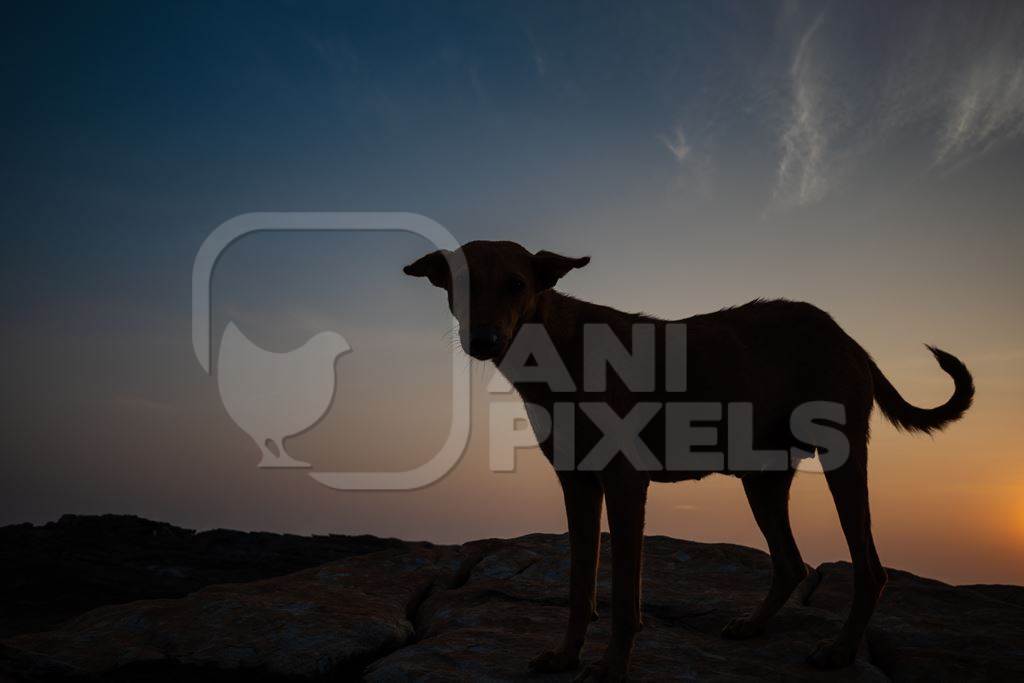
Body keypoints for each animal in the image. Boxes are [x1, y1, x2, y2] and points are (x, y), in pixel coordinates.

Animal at [403, 239, 970, 679]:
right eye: (461, 284)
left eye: (516, 284)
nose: (484, 341)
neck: (560, 349)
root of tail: (845, 335)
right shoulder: (578, 485)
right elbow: (579, 585)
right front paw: (566, 655)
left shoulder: (625, 484)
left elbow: (624, 596)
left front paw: (612, 667)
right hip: (761, 479)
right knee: (791, 563)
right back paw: (754, 625)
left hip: (842, 462)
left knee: (870, 569)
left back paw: (840, 651)